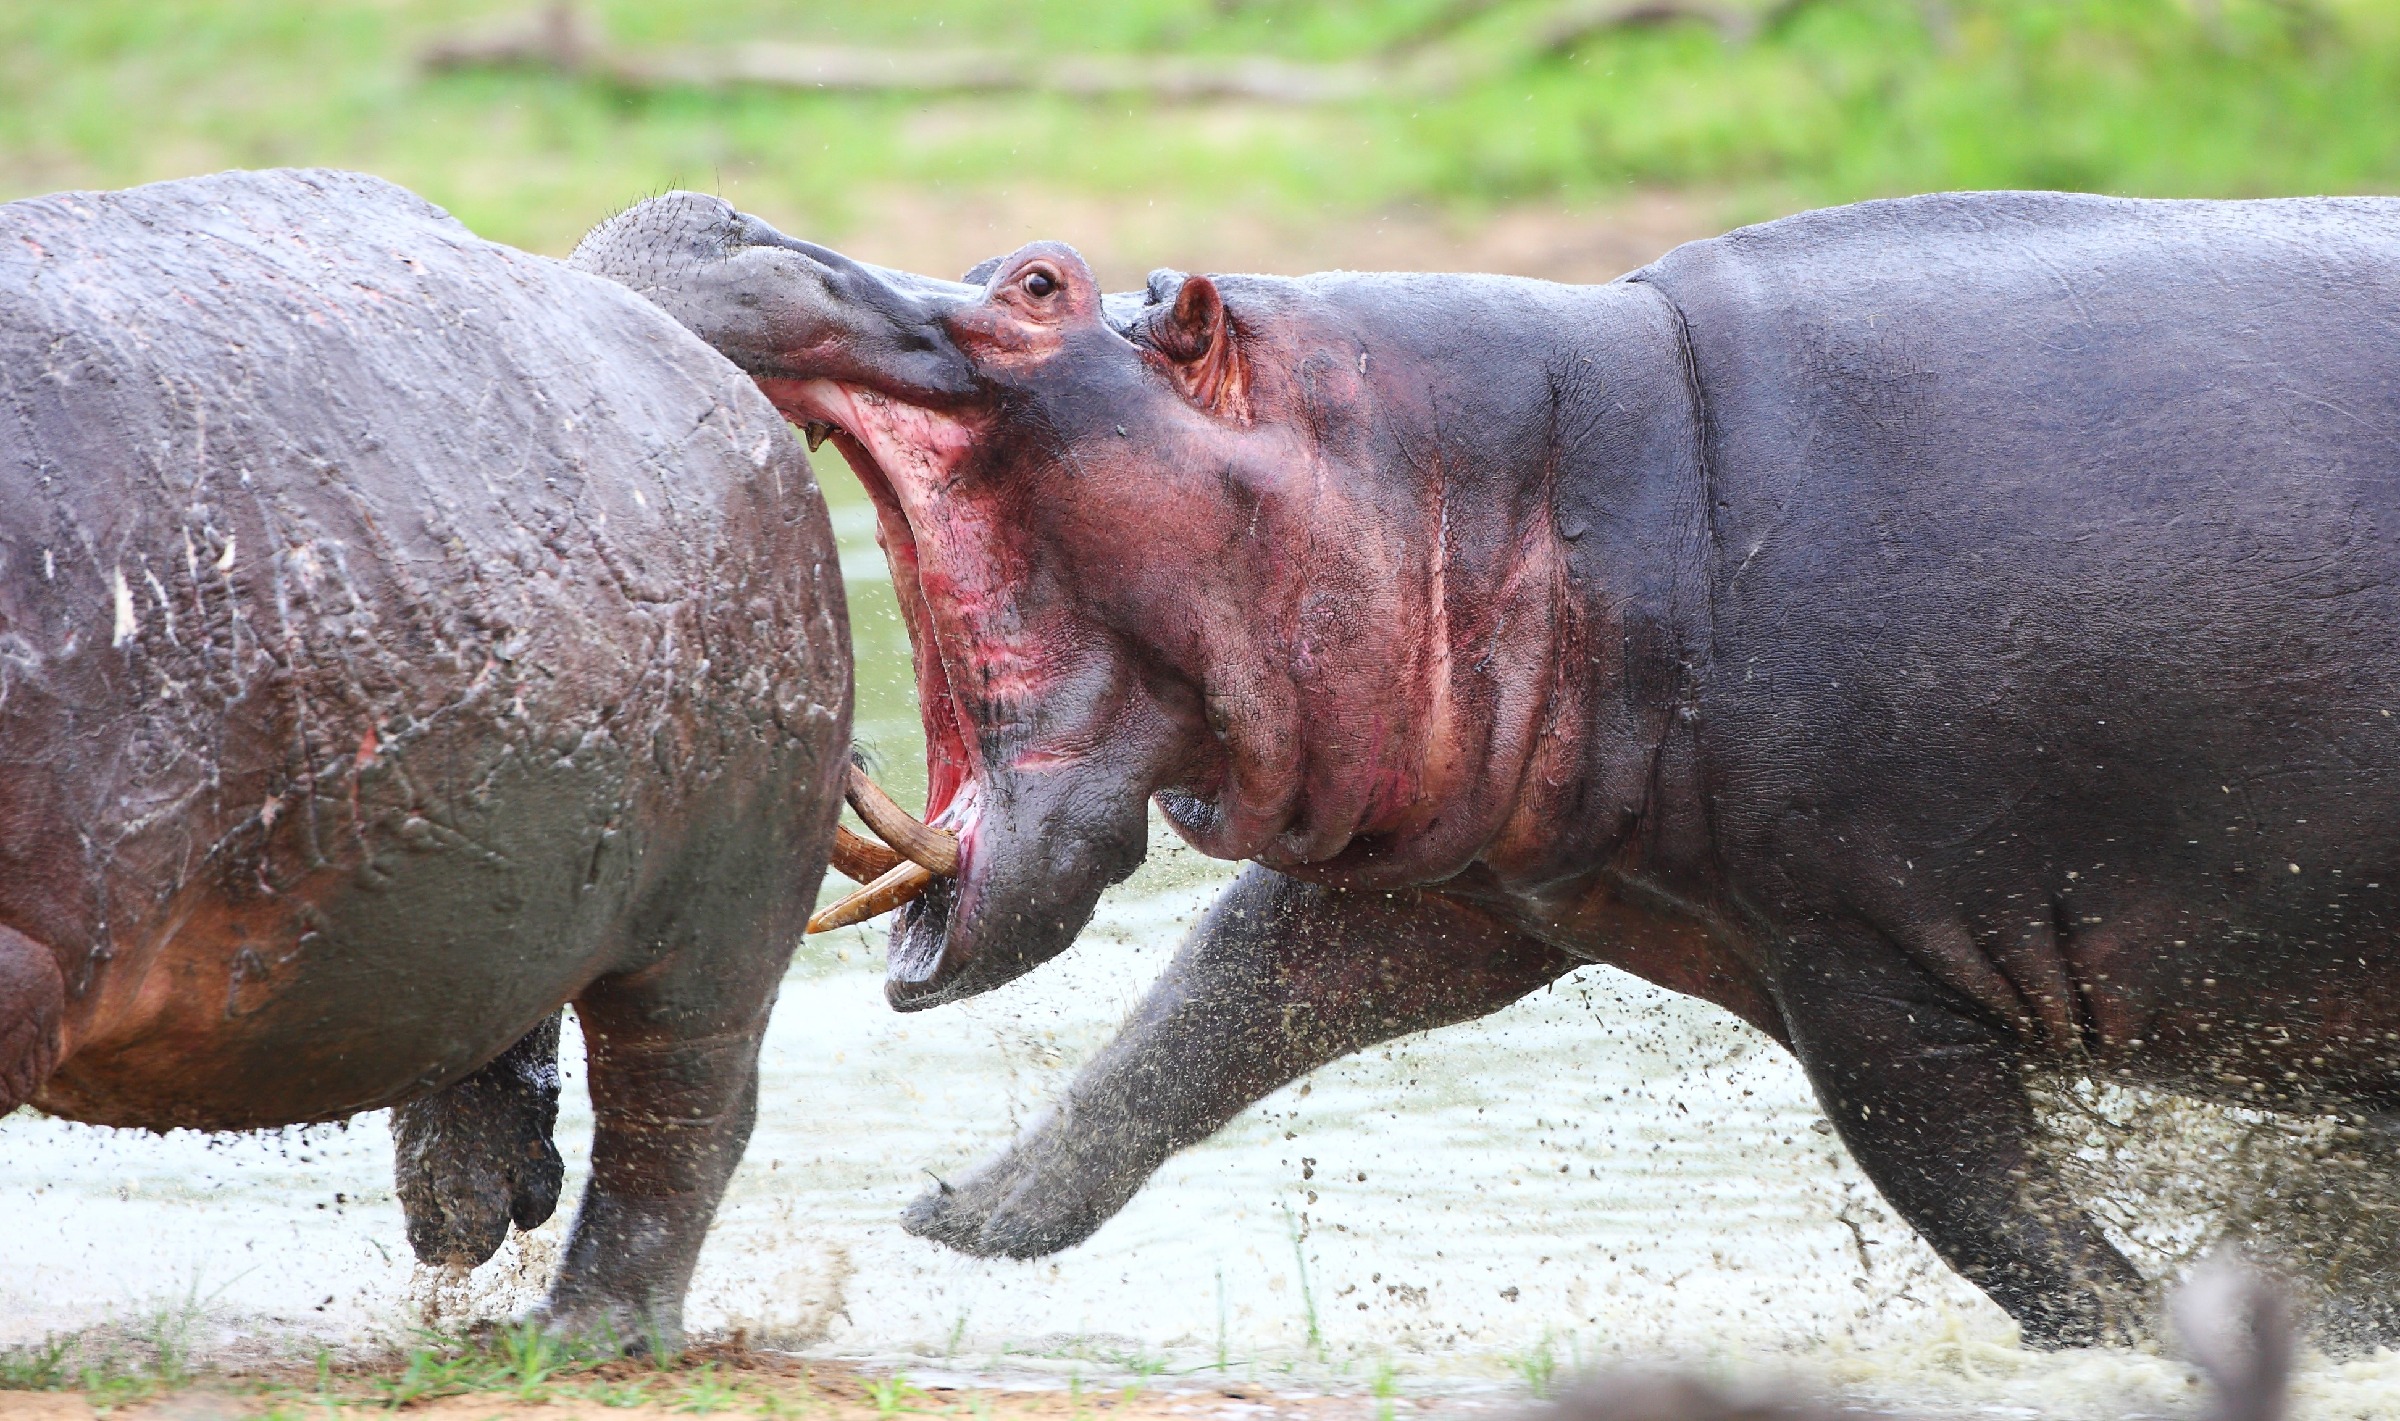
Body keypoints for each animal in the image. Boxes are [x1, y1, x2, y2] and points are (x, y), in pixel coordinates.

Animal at [571, 188, 2400, 1344]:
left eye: (1038, 284)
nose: (719, 219)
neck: (1547, 474)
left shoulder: (1869, 967)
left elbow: (1994, 1217)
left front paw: (2183, 1331)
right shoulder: (1468, 883)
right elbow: (1208, 1012)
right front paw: (956, 1212)